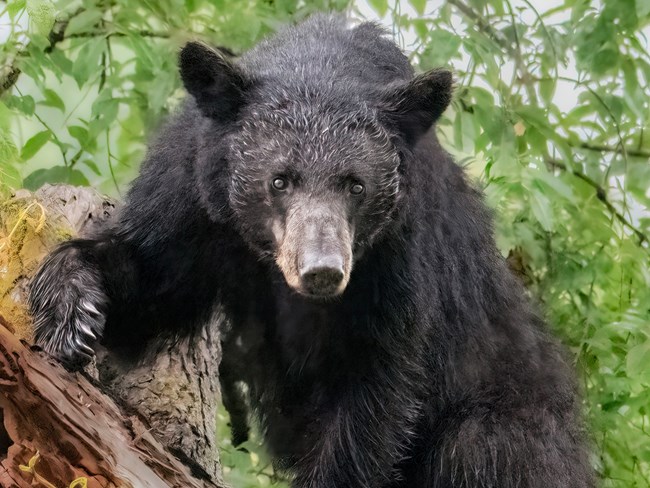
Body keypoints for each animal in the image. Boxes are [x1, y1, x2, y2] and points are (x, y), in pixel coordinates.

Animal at [28, 14, 593, 488]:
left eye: (356, 185)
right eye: (279, 179)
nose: (322, 270)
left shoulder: (399, 255)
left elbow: (373, 388)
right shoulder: (190, 191)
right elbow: (154, 283)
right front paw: (73, 314)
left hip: (508, 410)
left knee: (481, 452)